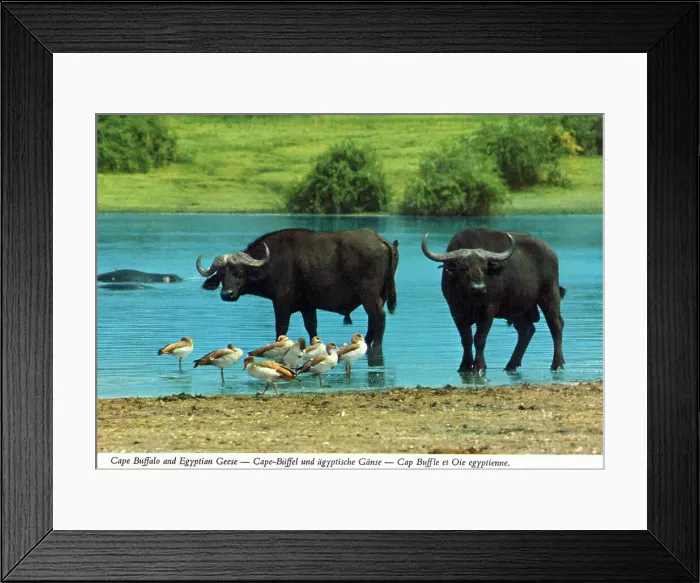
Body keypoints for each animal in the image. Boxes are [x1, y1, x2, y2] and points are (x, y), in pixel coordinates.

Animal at [196, 228, 399, 350]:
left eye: (239, 272)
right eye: (221, 274)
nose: (226, 294)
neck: (272, 262)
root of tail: (382, 241)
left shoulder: (281, 303)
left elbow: (281, 328)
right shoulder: (307, 306)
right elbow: (312, 328)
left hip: (369, 296)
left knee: (379, 319)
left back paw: (376, 346)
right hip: (379, 297)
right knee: (373, 321)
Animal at [421, 228, 565, 373]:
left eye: (484, 267)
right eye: (463, 267)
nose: (479, 288)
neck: (470, 297)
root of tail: (551, 252)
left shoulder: (488, 309)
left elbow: (480, 338)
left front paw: (479, 367)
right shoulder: (455, 310)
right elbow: (466, 338)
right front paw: (465, 366)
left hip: (550, 296)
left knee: (556, 325)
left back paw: (557, 364)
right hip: (518, 309)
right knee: (526, 330)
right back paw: (511, 365)